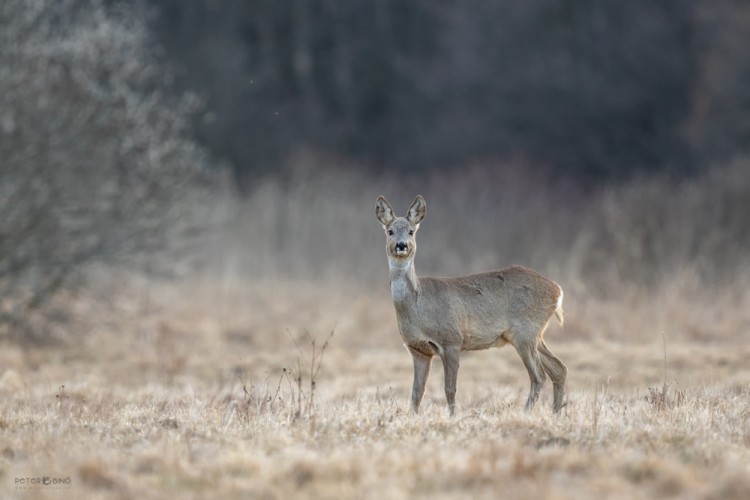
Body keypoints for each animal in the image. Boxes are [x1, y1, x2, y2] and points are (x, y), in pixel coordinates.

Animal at [378, 194, 568, 414]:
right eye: (390, 231)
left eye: (411, 230)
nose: (401, 245)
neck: (418, 303)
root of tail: (557, 289)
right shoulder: (418, 349)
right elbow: (417, 393)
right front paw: (413, 417)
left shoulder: (451, 340)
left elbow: (450, 389)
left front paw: (452, 416)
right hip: (535, 335)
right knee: (559, 368)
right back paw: (556, 414)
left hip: (525, 332)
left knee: (539, 375)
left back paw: (526, 413)